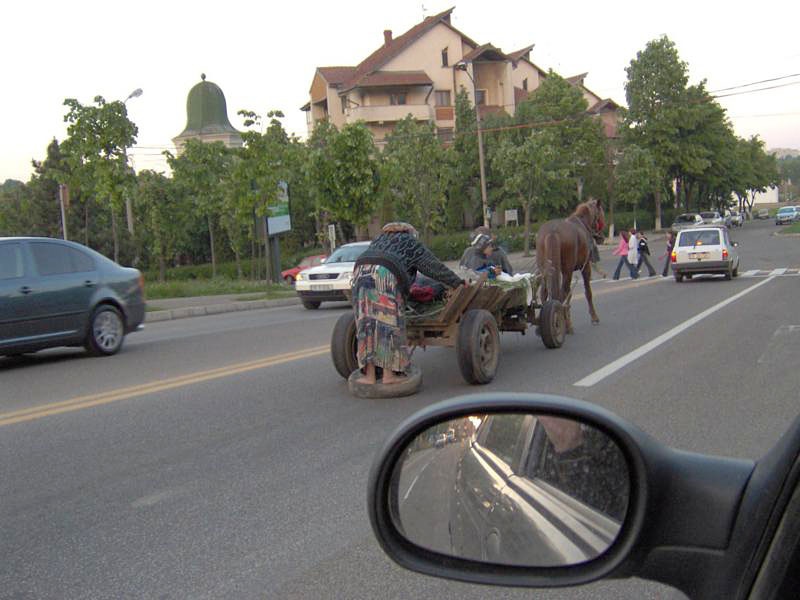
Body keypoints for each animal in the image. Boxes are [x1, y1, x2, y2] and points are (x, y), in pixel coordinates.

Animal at [536, 200, 608, 332]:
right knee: (561, 293)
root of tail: (552, 231)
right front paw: (594, 317)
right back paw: (564, 324)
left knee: (544, 293)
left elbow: (569, 294)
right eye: (601, 214)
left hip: (544, 270)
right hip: (567, 270)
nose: (602, 237)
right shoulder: (585, 267)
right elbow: (588, 292)